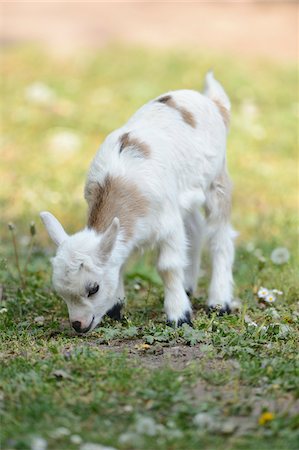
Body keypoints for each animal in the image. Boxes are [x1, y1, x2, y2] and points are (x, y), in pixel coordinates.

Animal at [40, 72, 237, 332]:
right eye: (61, 293)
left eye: (93, 288)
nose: (78, 325)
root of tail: (213, 101)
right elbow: (120, 261)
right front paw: (116, 308)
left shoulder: (167, 223)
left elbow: (167, 267)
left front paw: (179, 316)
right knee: (195, 227)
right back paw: (188, 287)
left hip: (217, 177)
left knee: (219, 235)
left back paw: (219, 302)